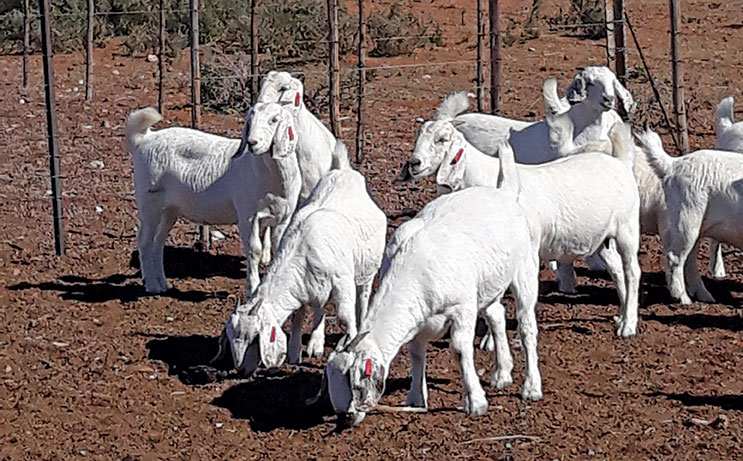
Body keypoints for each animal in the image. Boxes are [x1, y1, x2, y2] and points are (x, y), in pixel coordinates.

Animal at [127, 106, 300, 292]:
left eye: (274, 120)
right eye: (250, 120)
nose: (252, 143)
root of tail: (144, 139)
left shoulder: (283, 218)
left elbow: (280, 248)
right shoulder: (248, 215)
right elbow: (254, 251)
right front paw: (253, 288)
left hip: (168, 210)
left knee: (158, 242)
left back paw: (162, 283)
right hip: (149, 201)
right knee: (145, 241)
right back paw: (152, 285)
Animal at [219, 144, 384, 374]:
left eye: (254, 339)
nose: (241, 370)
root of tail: (344, 171)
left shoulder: (342, 282)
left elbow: (345, 318)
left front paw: (350, 345)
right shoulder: (303, 287)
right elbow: (298, 317)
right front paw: (295, 353)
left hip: (367, 269)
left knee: (363, 296)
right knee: (319, 307)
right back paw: (315, 343)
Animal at [326, 182, 540, 424]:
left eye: (351, 382)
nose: (345, 416)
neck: (413, 268)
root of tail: (500, 193)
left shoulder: (462, 307)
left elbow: (459, 349)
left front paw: (476, 402)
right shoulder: (418, 319)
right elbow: (416, 353)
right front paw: (416, 399)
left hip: (525, 267)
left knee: (526, 327)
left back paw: (531, 387)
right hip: (488, 285)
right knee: (497, 315)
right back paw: (502, 373)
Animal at [636, 127, 743, 304]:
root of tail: (673, 164)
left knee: (689, 259)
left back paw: (706, 297)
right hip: (686, 217)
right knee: (675, 258)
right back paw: (684, 299)